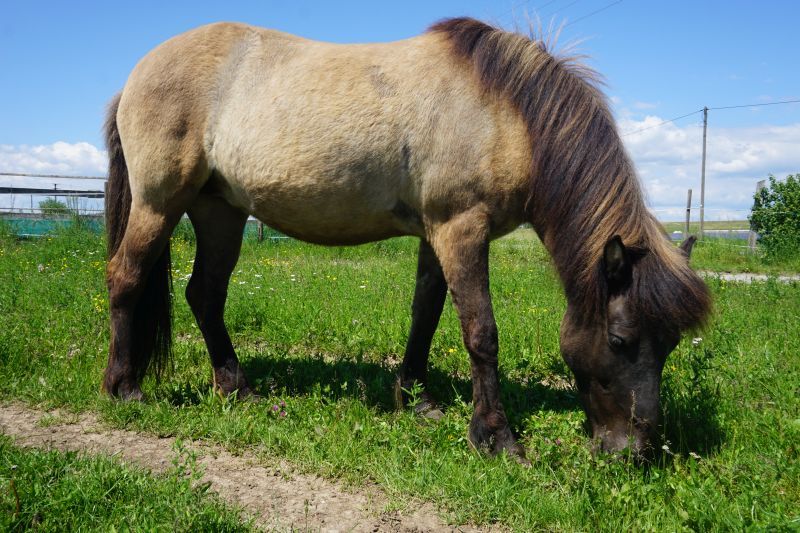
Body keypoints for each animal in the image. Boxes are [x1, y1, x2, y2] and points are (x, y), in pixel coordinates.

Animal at [103, 16, 708, 458]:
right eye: (620, 340)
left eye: (670, 345)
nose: (633, 451)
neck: (504, 109)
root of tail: (134, 76)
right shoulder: (461, 228)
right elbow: (481, 333)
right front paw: (496, 437)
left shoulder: (436, 233)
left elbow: (427, 313)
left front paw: (416, 400)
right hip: (160, 204)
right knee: (125, 278)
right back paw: (124, 387)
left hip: (220, 213)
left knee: (205, 295)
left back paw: (239, 389)